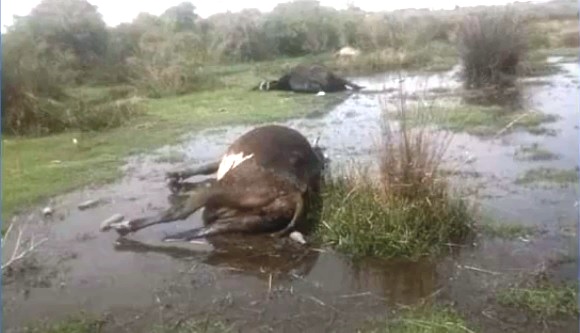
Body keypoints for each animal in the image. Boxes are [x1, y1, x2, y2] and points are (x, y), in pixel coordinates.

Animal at [99, 124, 326, 241]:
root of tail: (297, 187)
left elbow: (205, 168)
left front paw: (176, 179)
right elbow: (204, 170)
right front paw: (176, 180)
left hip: (226, 188)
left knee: (181, 211)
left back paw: (126, 226)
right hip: (255, 218)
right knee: (211, 226)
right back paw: (176, 236)